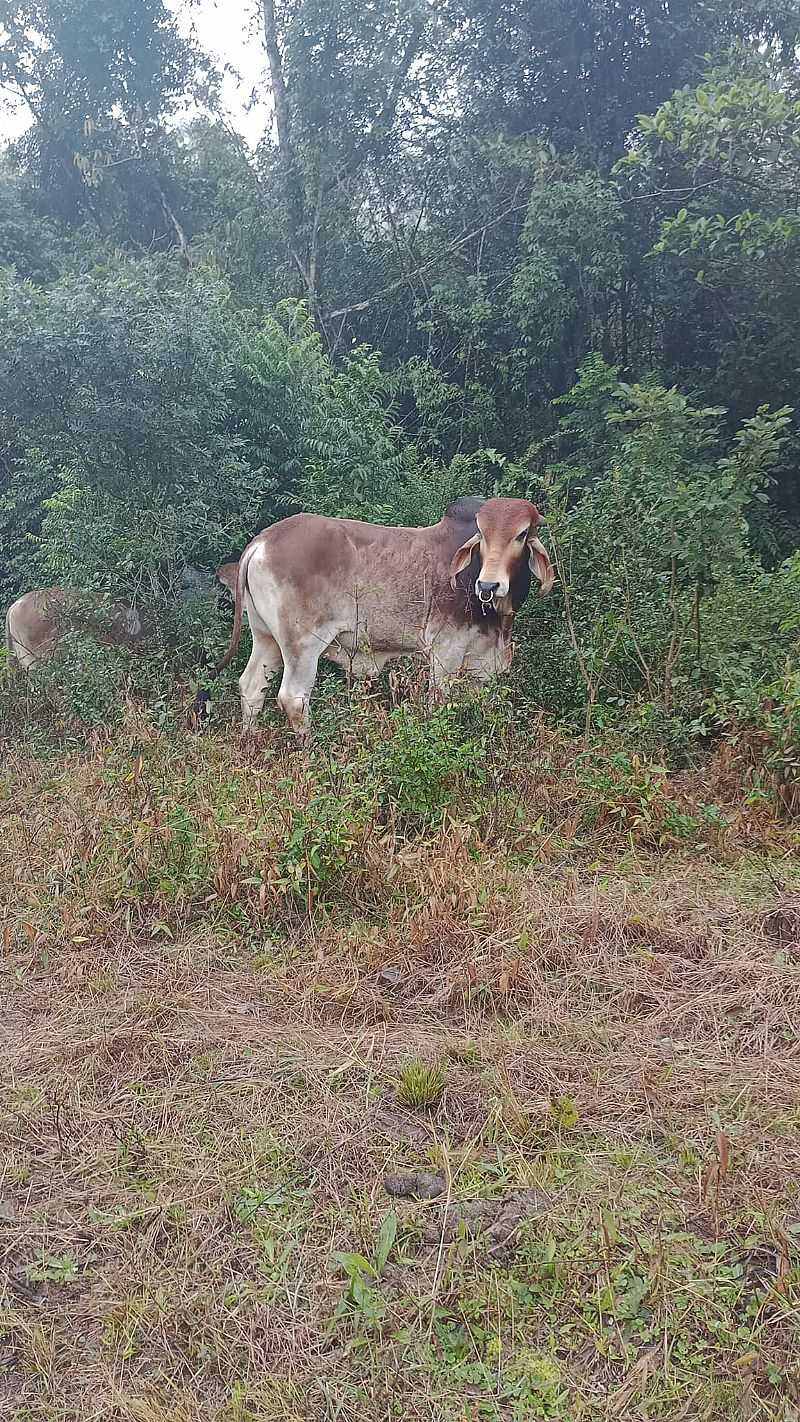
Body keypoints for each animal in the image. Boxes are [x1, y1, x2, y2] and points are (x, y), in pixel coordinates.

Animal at [210, 497, 554, 739]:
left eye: (522, 534)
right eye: (481, 533)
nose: (488, 585)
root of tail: (262, 541)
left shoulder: (482, 664)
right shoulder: (445, 650)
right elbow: (439, 703)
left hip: (266, 637)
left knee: (252, 686)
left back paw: (249, 739)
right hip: (302, 644)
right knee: (293, 698)